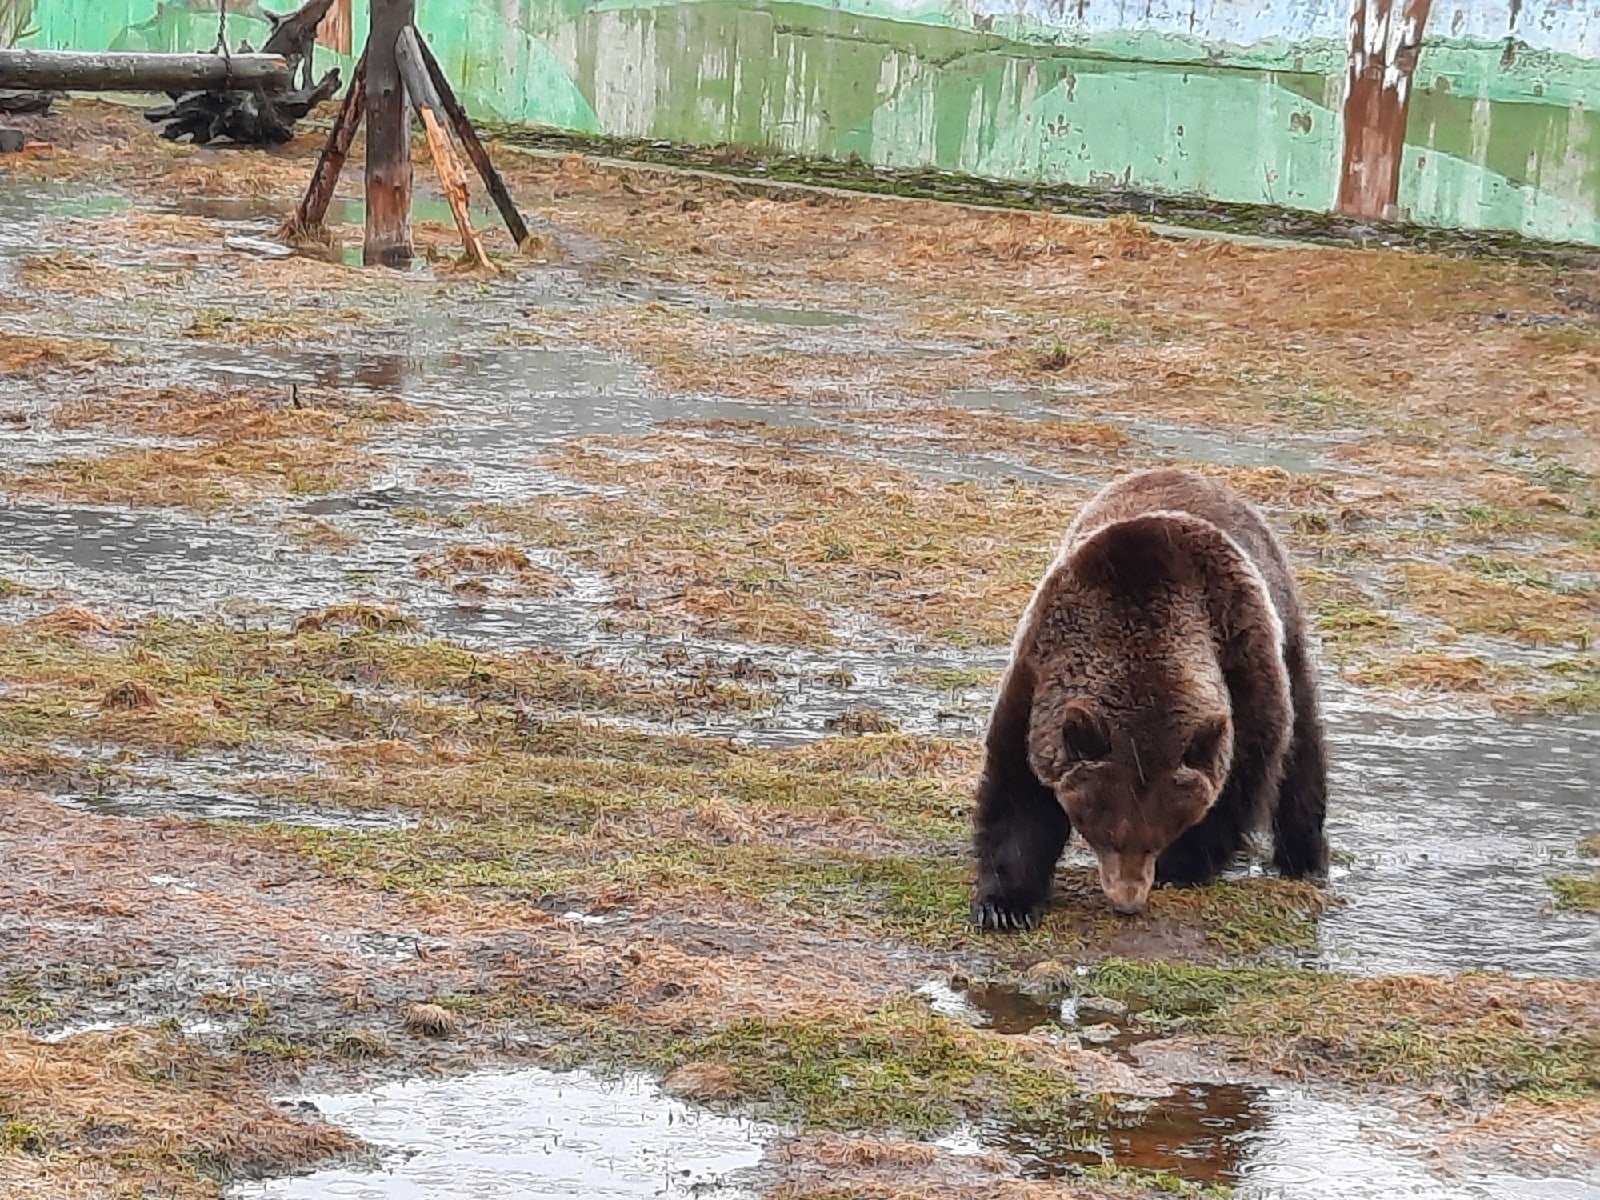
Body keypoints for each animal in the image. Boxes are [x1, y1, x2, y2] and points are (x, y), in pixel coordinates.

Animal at [972, 470, 1324, 928]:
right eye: (1105, 834)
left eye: (1157, 836)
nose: (1127, 900)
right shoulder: (1038, 672)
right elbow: (1017, 791)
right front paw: (1005, 905)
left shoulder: (1243, 658)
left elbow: (1240, 778)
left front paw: (1184, 863)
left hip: (1286, 629)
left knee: (1303, 754)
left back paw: (1305, 857)